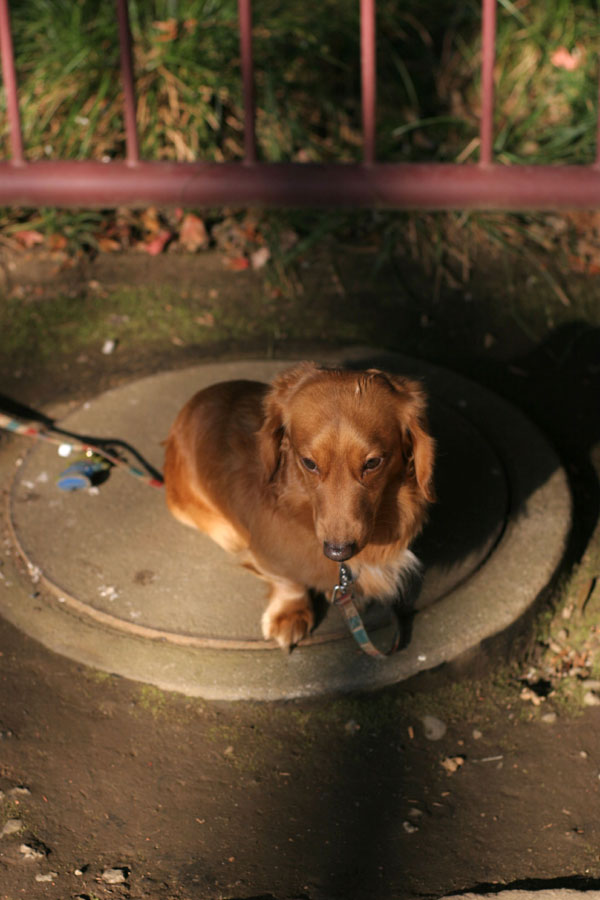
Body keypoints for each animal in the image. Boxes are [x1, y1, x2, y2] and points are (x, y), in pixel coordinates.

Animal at [164, 362, 434, 652]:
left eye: (373, 463)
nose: (338, 552)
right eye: (309, 463)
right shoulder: (266, 552)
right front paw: (290, 613)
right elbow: (288, 579)